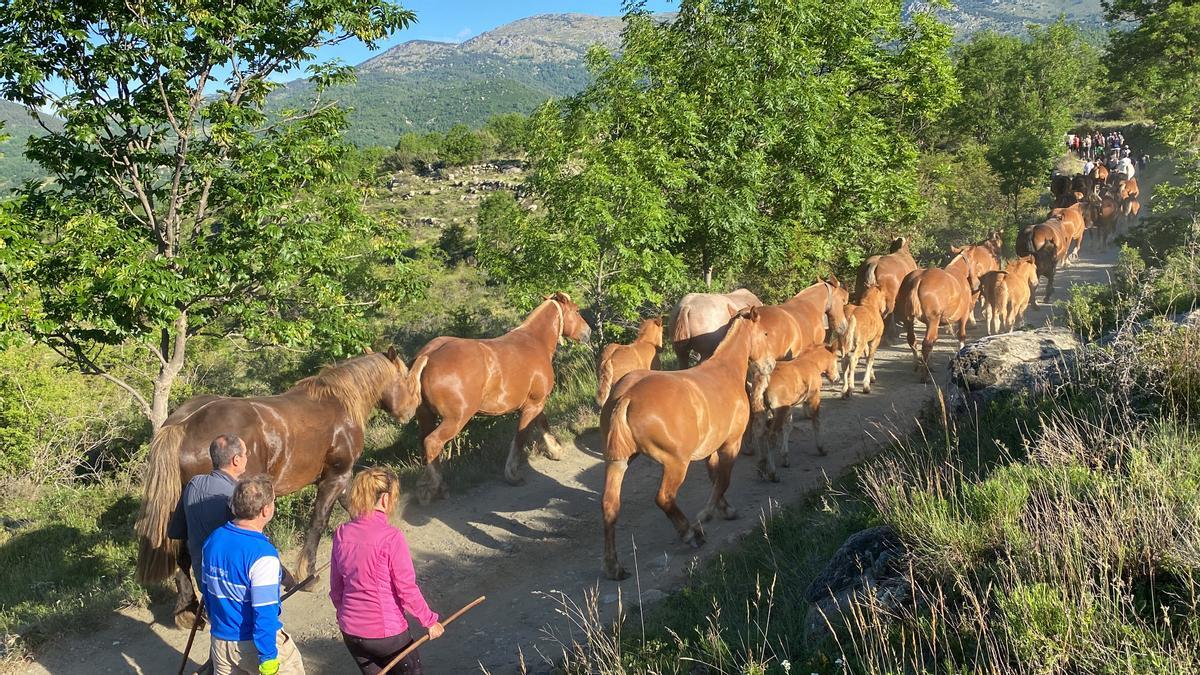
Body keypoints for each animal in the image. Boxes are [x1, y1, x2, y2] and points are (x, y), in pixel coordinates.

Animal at [133, 345, 424, 624]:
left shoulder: (340, 478)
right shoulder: (335, 477)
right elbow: (318, 523)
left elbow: (351, 504)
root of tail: (183, 425)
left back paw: (187, 609)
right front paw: (308, 573)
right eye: (404, 376)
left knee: (178, 550)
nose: (412, 410)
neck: (338, 402)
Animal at [412, 291, 590, 502]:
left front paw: (555, 450)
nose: (588, 332)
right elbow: (521, 437)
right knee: (432, 443)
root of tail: (428, 355)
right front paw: (512, 474)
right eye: (577, 310)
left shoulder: (535, 403)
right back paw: (435, 488)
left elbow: (543, 423)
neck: (535, 342)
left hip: (426, 417)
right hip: (456, 419)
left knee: (424, 443)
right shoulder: (532, 405)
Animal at [597, 309, 768, 578]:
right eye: (766, 333)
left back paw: (614, 566)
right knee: (664, 498)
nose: (769, 364)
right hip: (676, 464)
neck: (725, 370)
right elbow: (723, 480)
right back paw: (690, 533)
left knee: (610, 506)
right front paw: (708, 514)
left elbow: (715, 477)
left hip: (617, 462)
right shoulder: (730, 444)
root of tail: (626, 397)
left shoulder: (711, 449)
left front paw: (723, 509)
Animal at [748, 343, 844, 480]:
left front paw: (785, 458)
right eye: (836, 360)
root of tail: (764, 380)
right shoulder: (814, 398)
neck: (810, 362)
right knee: (771, 436)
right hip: (778, 412)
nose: (837, 379)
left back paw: (762, 467)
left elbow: (788, 427)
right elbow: (816, 422)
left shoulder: (789, 407)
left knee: (759, 433)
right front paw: (821, 449)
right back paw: (772, 473)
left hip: (763, 411)